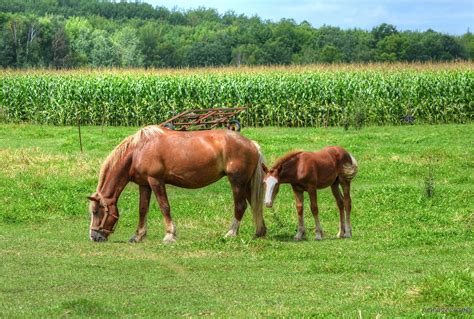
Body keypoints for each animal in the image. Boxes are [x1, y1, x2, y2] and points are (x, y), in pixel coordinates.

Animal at [88, 126, 266, 244]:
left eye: (96, 211)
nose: (94, 237)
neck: (139, 150)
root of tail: (252, 144)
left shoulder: (156, 181)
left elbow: (164, 207)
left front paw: (169, 235)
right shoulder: (144, 184)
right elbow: (142, 209)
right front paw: (138, 235)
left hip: (237, 182)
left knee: (240, 206)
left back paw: (231, 233)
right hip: (247, 184)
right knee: (254, 205)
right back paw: (260, 232)